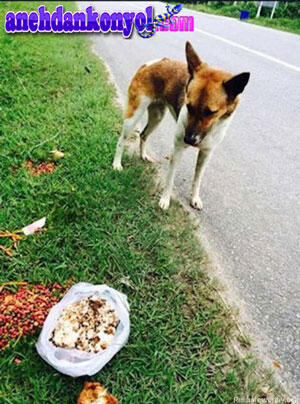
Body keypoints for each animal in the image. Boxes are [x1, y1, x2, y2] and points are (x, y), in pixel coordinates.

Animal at [112, 41, 248, 211]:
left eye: (210, 112)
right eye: (188, 106)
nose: (189, 140)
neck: (209, 129)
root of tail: (152, 63)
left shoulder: (206, 153)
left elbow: (198, 178)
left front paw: (195, 198)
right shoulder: (177, 149)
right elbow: (170, 179)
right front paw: (165, 200)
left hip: (157, 116)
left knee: (143, 135)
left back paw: (143, 155)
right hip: (134, 115)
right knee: (122, 140)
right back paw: (116, 164)